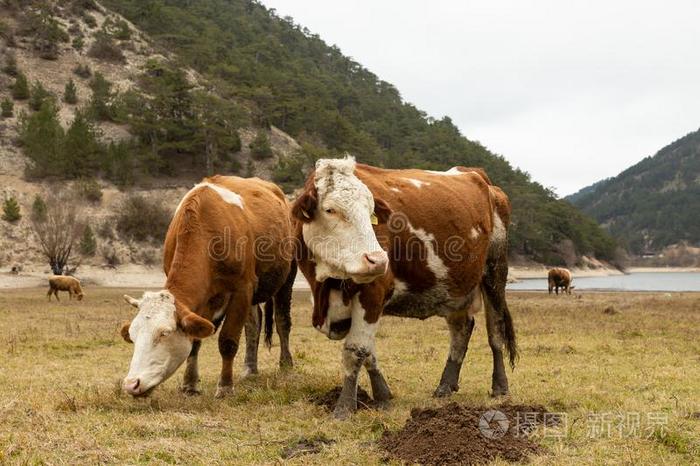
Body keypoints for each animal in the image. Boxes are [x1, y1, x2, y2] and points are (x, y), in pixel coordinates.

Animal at [120, 177, 296, 398]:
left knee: (282, 321)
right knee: (254, 324)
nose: (131, 384)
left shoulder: (242, 290)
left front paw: (225, 387)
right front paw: (190, 384)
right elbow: (195, 341)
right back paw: (250, 369)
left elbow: (228, 340)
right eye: (133, 335)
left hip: (287, 277)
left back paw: (286, 364)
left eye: (164, 333)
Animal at [292, 158, 516, 420]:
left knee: (495, 331)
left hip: (494, 272)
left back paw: (500, 386)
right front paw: (382, 396)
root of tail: (479, 177)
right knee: (461, 329)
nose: (378, 260)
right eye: (330, 210)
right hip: (454, 287)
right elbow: (369, 353)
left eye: (370, 212)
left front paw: (344, 408)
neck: (326, 284)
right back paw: (445, 386)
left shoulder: (373, 292)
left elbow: (355, 350)